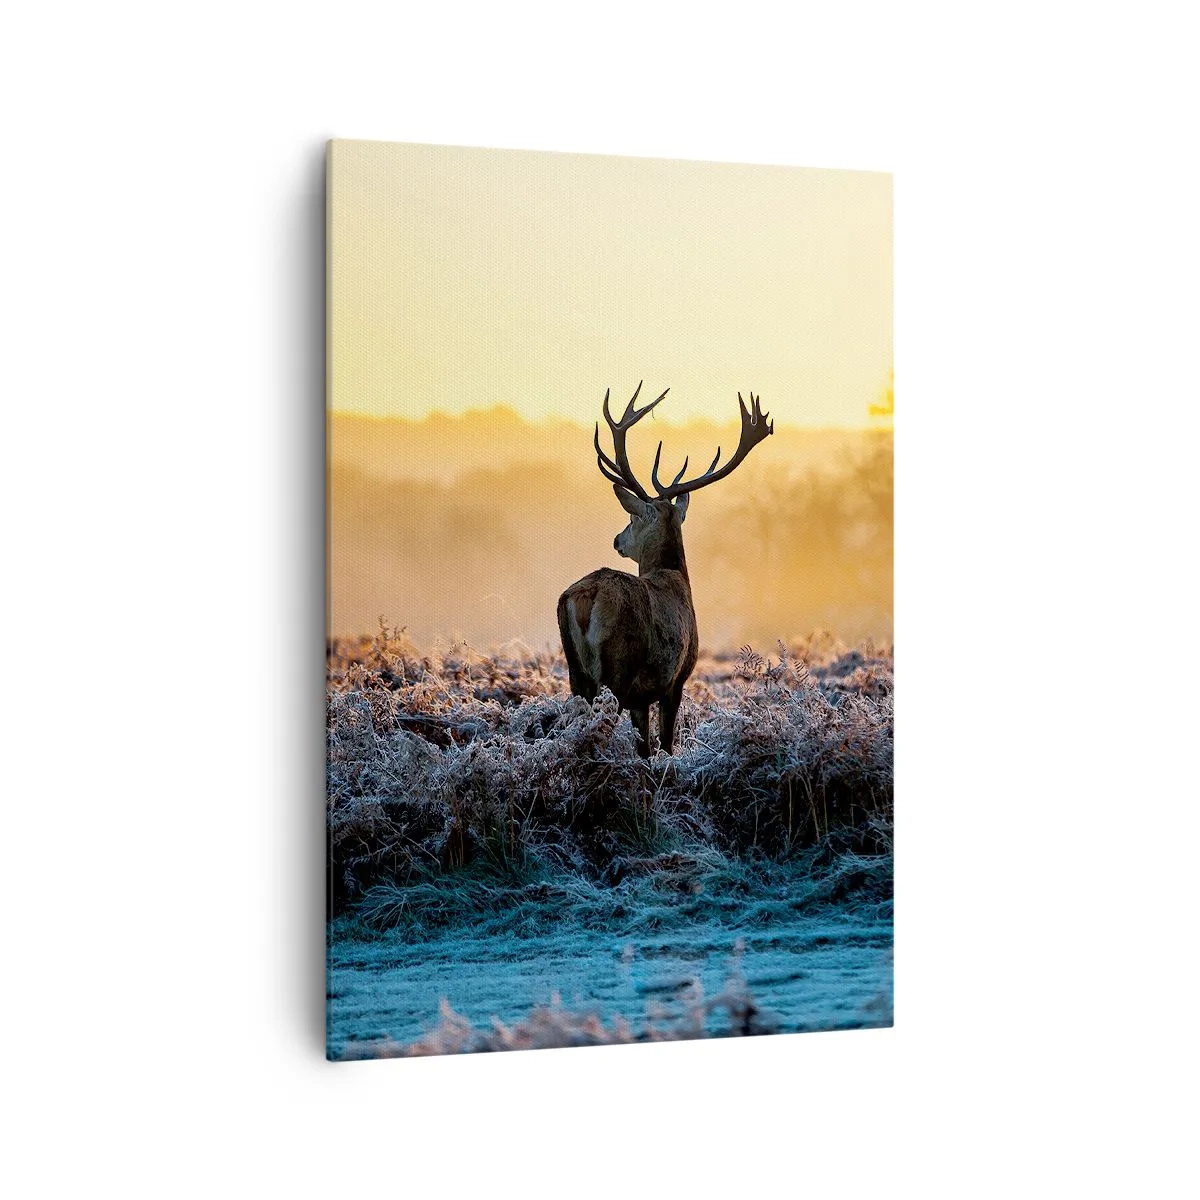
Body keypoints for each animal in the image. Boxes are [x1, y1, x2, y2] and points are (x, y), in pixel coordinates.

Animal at [557, 383, 774, 757]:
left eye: (631, 519)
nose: (617, 539)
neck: (675, 577)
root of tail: (587, 595)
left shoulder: (644, 695)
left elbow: (646, 744)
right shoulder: (676, 678)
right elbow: (665, 743)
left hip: (577, 672)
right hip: (618, 668)